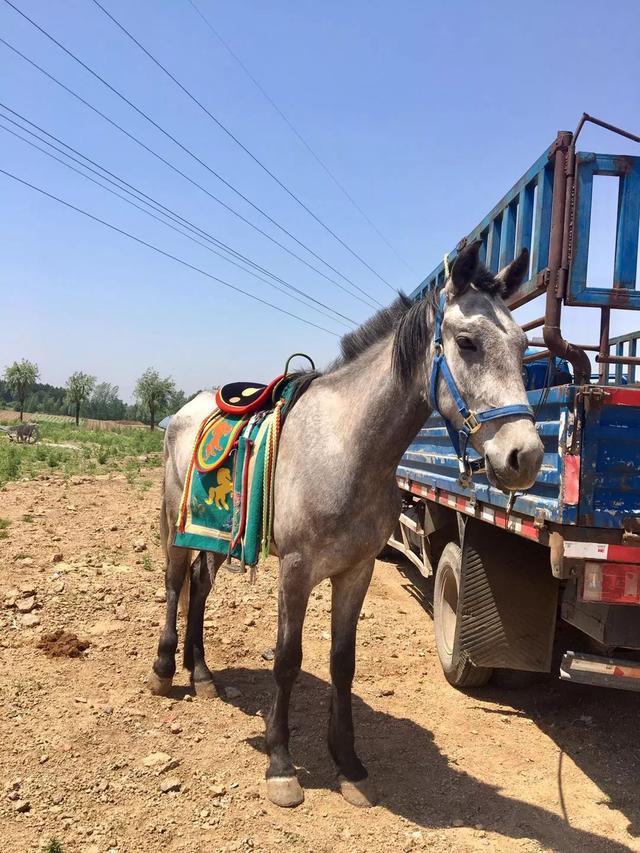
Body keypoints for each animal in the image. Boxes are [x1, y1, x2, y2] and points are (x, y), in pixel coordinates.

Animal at [149, 240, 540, 804]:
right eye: (467, 343)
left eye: (523, 345)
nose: (525, 457)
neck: (347, 448)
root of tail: (185, 410)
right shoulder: (295, 572)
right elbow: (288, 660)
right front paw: (281, 763)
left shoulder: (357, 571)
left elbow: (342, 662)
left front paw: (348, 763)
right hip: (175, 527)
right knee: (175, 583)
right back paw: (164, 671)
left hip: (218, 536)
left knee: (199, 587)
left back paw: (200, 674)